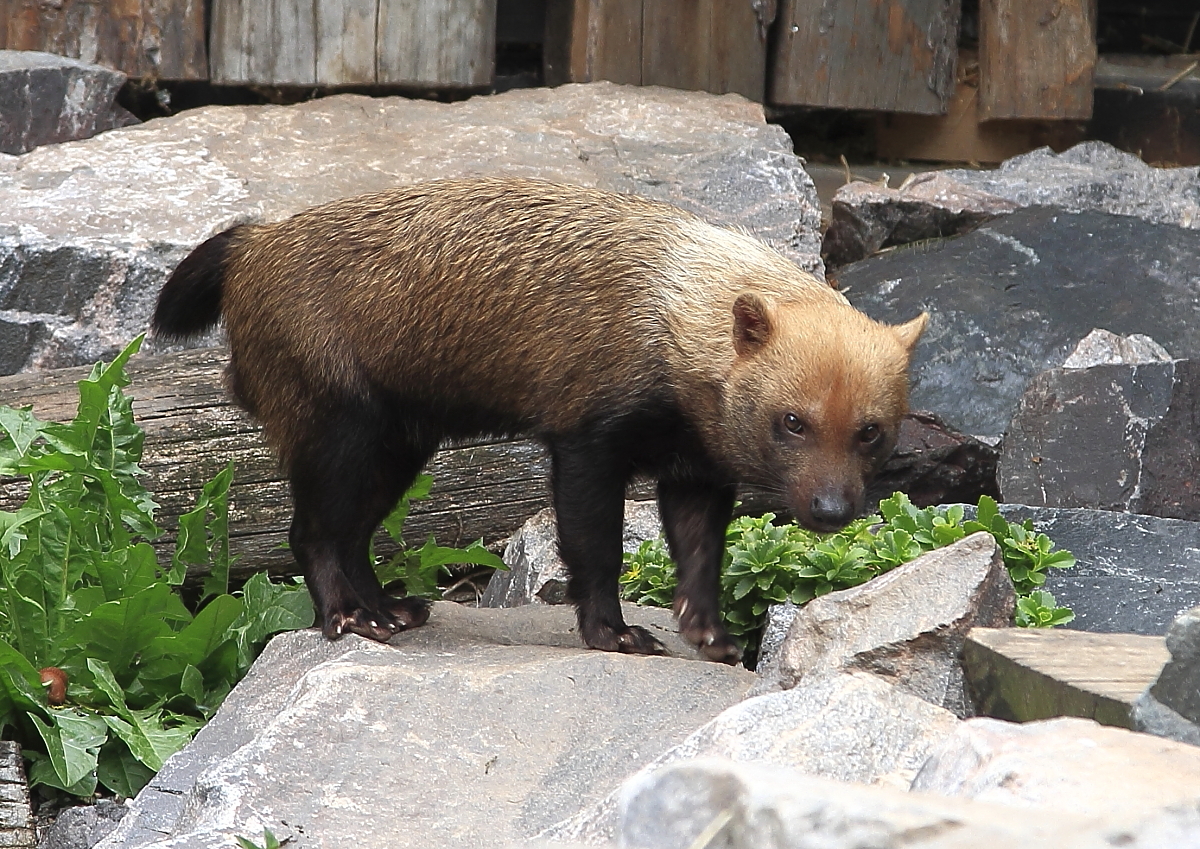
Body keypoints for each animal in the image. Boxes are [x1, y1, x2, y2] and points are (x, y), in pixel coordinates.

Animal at [154, 178, 926, 666]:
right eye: (792, 421)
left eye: (870, 430)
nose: (831, 509)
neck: (670, 311)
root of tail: (253, 243)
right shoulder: (587, 441)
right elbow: (594, 550)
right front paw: (614, 635)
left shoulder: (695, 469)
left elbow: (701, 556)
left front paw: (712, 638)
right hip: (341, 430)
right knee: (311, 532)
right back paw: (349, 617)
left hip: (398, 445)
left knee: (351, 534)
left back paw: (391, 610)